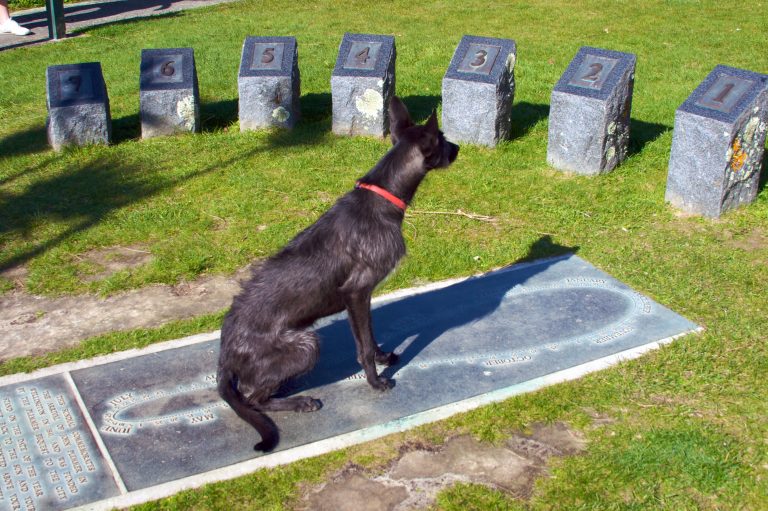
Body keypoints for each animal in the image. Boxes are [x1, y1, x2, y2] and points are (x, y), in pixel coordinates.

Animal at [216, 97, 460, 452]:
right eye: (442, 138)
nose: (458, 148)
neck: (381, 198)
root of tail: (224, 355)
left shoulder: (363, 297)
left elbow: (370, 335)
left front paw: (383, 356)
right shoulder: (356, 291)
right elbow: (363, 347)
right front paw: (375, 381)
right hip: (306, 344)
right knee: (251, 398)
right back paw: (300, 402)